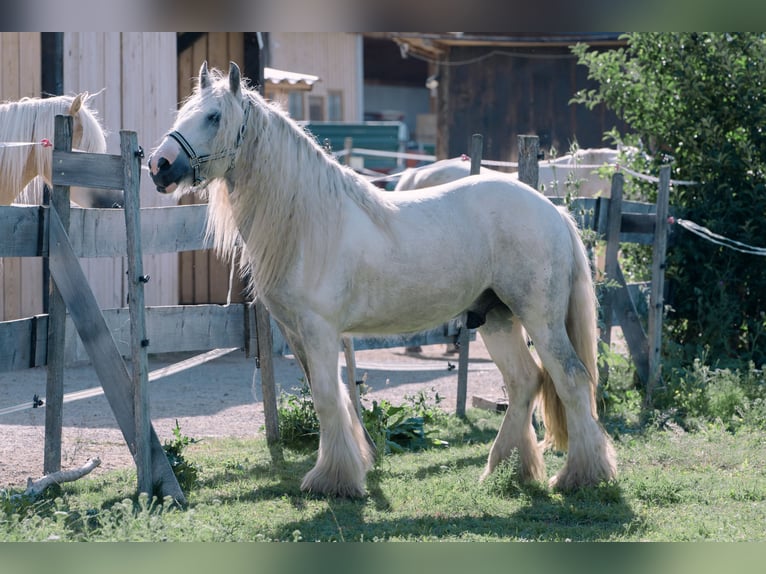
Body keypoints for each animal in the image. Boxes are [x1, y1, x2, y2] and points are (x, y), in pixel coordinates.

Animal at [148, 60, 616, 498]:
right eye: (184, 113)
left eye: (213, 116)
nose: (159, 165)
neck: (310, 221)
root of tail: (552, 210)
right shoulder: (297, 332)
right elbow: (330, 396)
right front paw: (350, 467)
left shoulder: (320, 330)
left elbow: (327, 398)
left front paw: (333, 480)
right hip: (497, 317)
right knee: (524, 382)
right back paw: (505, 470)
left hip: (540, 319)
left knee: (571, 380)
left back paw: (581, 475)